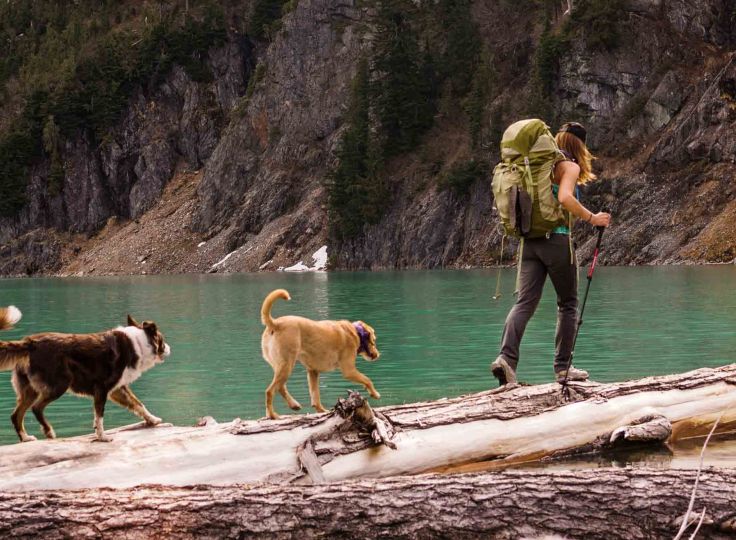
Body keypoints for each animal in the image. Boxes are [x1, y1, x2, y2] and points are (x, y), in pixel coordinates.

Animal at [260, 288, 380, 420]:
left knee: (281, 387)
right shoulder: (349, 371)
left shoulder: (313, 371)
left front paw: (321, 410)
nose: (377, 355)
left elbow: (315, 395)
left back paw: (293, 405)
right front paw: (374, 393)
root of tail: (275, 323)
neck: (356, 332)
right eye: (374, 340)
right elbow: (367, 379)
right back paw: (272, 414)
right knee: (270, 391)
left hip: (280, 365)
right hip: (287, 364)